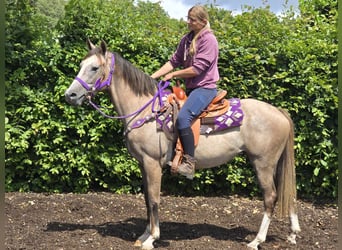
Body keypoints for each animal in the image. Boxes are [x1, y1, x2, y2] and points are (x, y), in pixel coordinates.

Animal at [64, 40, 300, 249]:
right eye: (81, 65)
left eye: (94, 67)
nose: (70, 95)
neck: (145, 110)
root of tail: (278, 111)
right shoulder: (143, 164)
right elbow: (147, 199)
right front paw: (144, 234)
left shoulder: (152, 163)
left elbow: (154, 199)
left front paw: (152, 238)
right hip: (275, 164)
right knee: (287, 193)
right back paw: (292, 234)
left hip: (263, 163)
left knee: (270, 197)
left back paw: (256, 241)